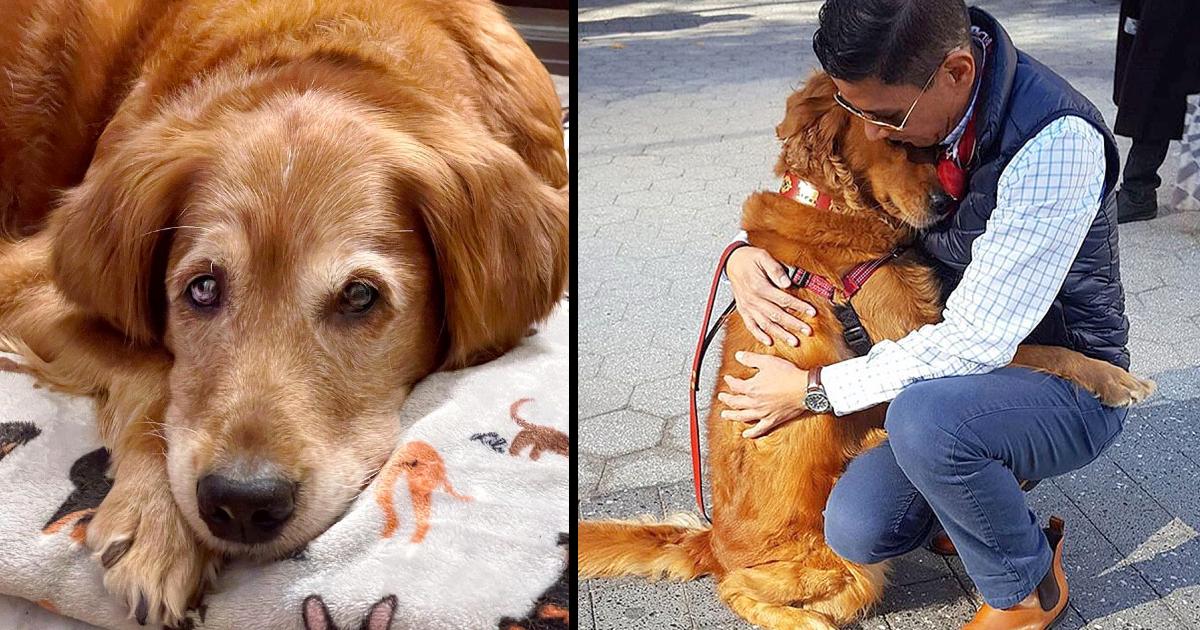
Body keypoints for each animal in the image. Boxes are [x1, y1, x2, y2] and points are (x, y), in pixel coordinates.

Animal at [0, 0, 566, 619]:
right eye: (202, 289)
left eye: (360, 296)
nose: (242, 505)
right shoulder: (25, 278)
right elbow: (152, 367)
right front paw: (158, 521)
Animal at [580, 75, 1152, 628]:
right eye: (897, 142)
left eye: (929, 147)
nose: (944, 205)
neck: (831, 203)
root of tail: (713, 541)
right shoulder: (914, 331)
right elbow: (1038, 348)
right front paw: (1115, 378)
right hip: (847, 566)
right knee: (738, 589)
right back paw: (809, 621)